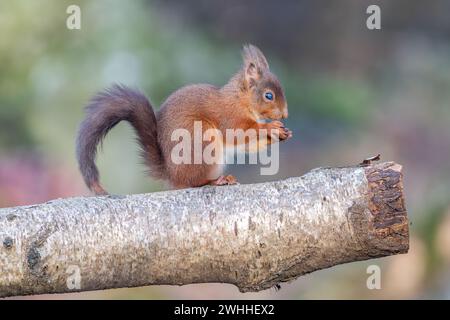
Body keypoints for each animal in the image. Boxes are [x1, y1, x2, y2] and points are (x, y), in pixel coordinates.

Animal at [77, 44, 292, 195]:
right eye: (269, 95)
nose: (285, 115)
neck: (241, 99)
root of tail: (171, 175)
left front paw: (282, 133)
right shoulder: (229, 116)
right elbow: (239, 133)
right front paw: (271, 127)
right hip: (201, 139)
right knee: (192, 183)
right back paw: (215, 181)